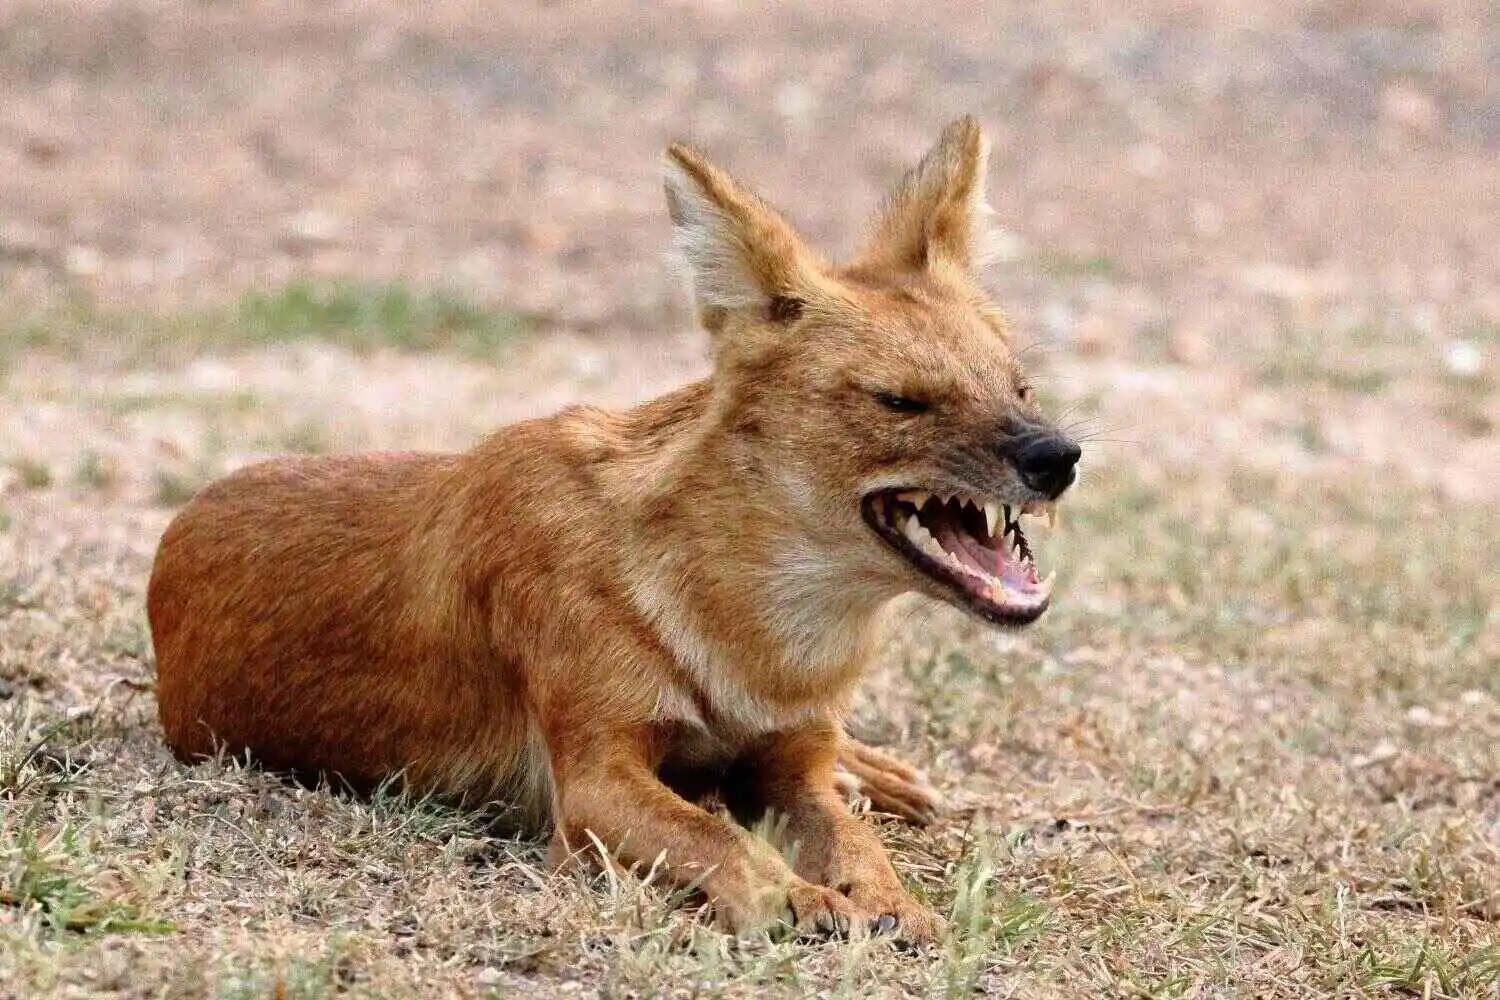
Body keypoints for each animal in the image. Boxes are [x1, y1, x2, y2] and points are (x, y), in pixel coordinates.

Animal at [152, 117, 1080, 941]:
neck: (756, 633)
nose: (1058, 456)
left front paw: (892, 899)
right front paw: (796, 901)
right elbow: (715, 836)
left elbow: (851, 840)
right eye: (900, 401)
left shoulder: (787, 758)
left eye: (1020, 386)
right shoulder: (594, 779)